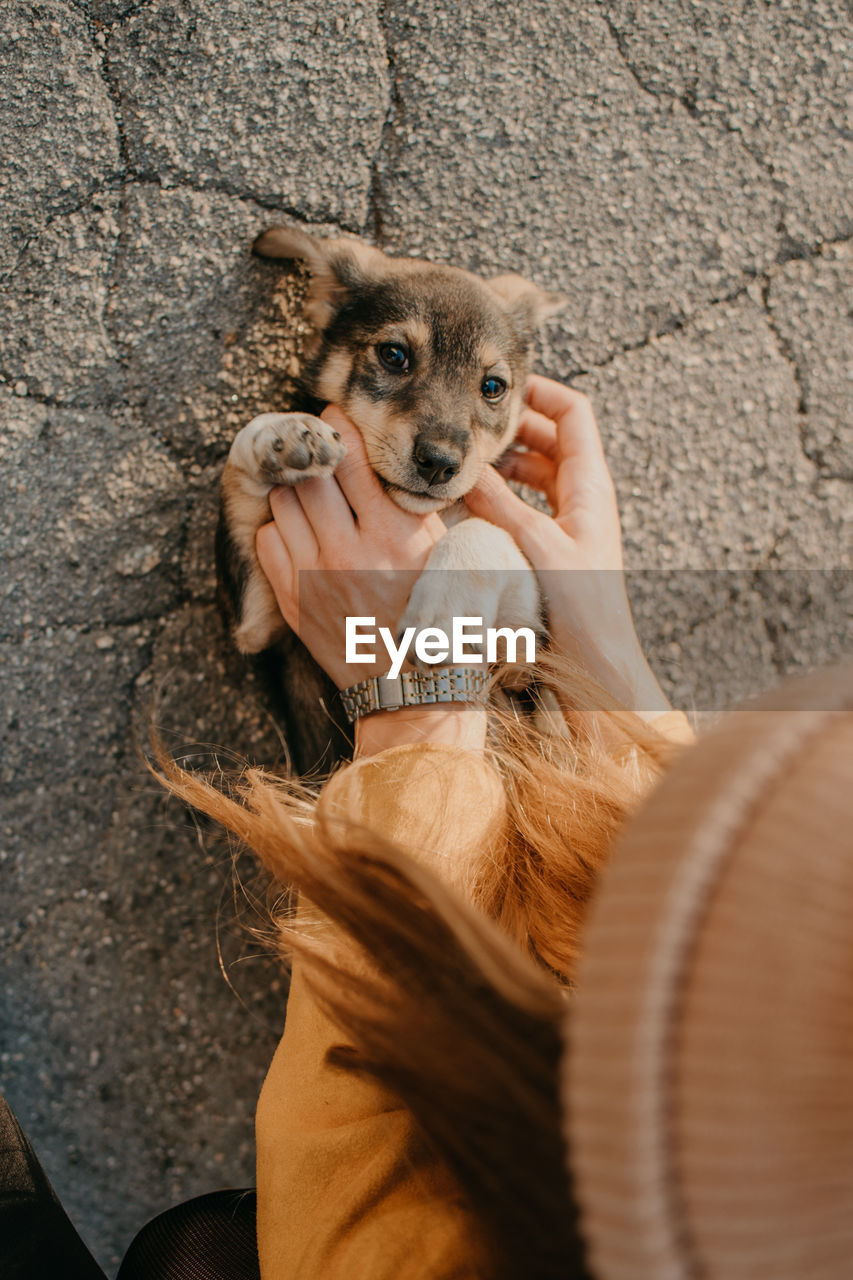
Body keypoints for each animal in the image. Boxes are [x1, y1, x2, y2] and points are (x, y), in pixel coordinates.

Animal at [216, 226, 558, 762]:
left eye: (493, 387)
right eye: (394, 355)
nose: (439, 463)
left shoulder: (530, 652)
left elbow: (490, 532)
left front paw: (448, 612)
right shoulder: (256, 619)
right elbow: (238, 480)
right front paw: (279, 433)